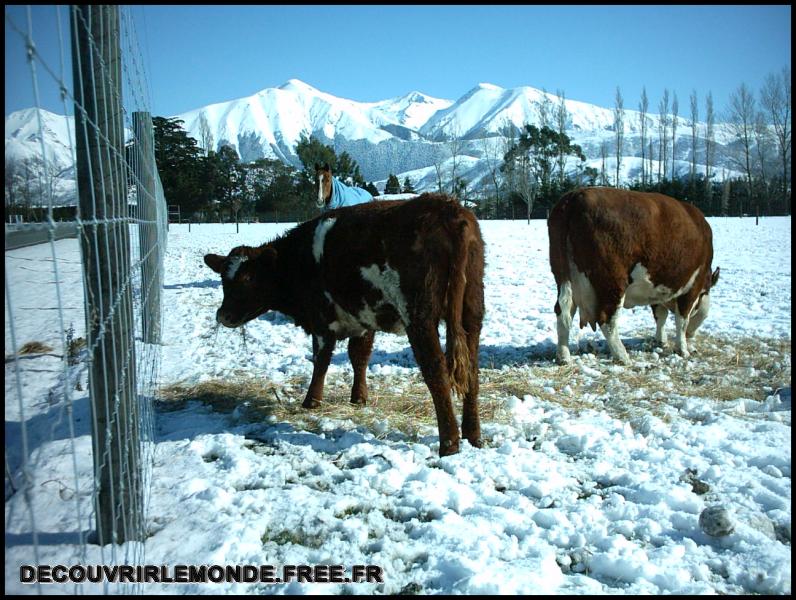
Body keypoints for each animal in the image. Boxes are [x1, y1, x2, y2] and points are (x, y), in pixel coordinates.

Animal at [204, 195, 486, 458]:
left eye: (248, 278)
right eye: (224, 279)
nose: (223, 315)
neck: (297, 260)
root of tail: (445, 207)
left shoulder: (321, 320)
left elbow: (321, 361)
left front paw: (311, 401)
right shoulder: (364, 318)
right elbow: (359, 357)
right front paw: (359, 398)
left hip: (419, 316)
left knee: (436, 371)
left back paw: (449, 444)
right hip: (472, 312)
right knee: (471, 367)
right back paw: (473, 435)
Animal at [552, 188, 720, 364]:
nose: (691, 337)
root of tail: (575, 195)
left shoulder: (657, 288)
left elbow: (661, 315)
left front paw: (661, 340)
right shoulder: (692, 286)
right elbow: (682, 319)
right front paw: (683, 349)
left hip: (564, 277)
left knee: (563, 312)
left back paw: (563, 356)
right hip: (612, 283)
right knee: (607, 320)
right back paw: (622, 356)